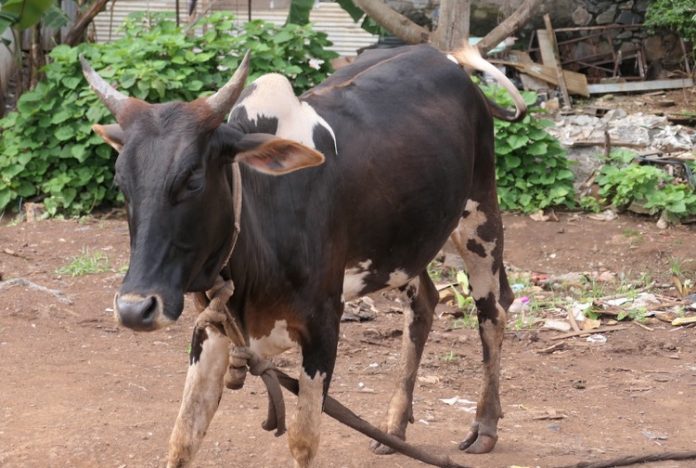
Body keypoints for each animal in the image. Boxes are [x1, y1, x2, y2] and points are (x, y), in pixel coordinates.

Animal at [80, 42, 528, 466]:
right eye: (121, 180)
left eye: (192, 178)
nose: (135, 308)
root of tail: (446, 58)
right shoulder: (211, 326)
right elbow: (184, 436)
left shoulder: (323, 325)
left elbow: (303, 440)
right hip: (403, 245)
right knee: (424, 304)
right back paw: (394, 428)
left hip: (479, 214)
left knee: (492, 311)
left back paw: (484, 426)